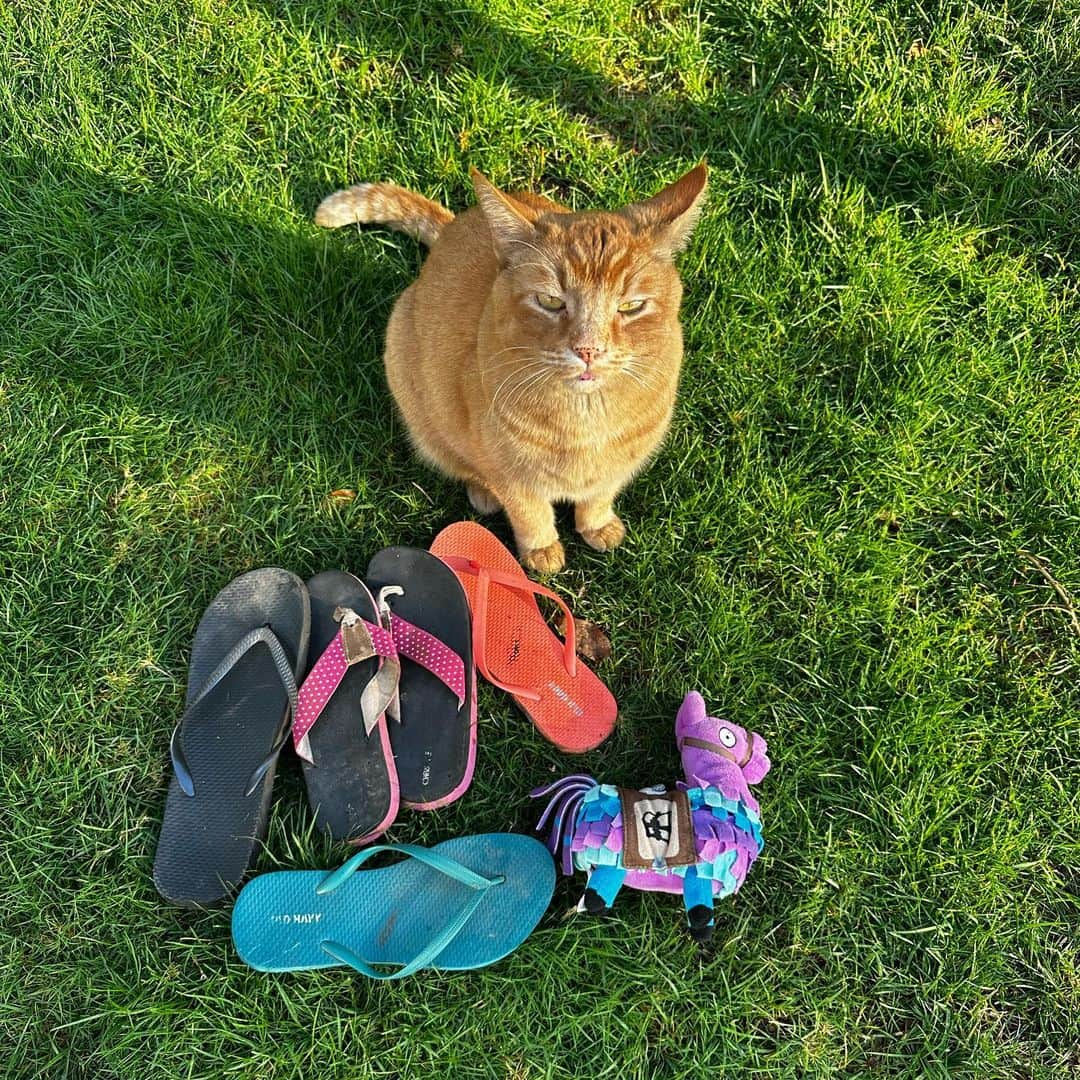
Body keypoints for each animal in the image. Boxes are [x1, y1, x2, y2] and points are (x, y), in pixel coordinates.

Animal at [315, 166, 704, 574]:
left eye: (631, 306)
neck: (584, 422)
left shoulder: (617, 465)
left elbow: (598, 497)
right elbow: (529, 512)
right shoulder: (511, 475)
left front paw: (596, 525)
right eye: (550, 301)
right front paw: (541, 550)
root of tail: (455, 226)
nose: (588, 350)